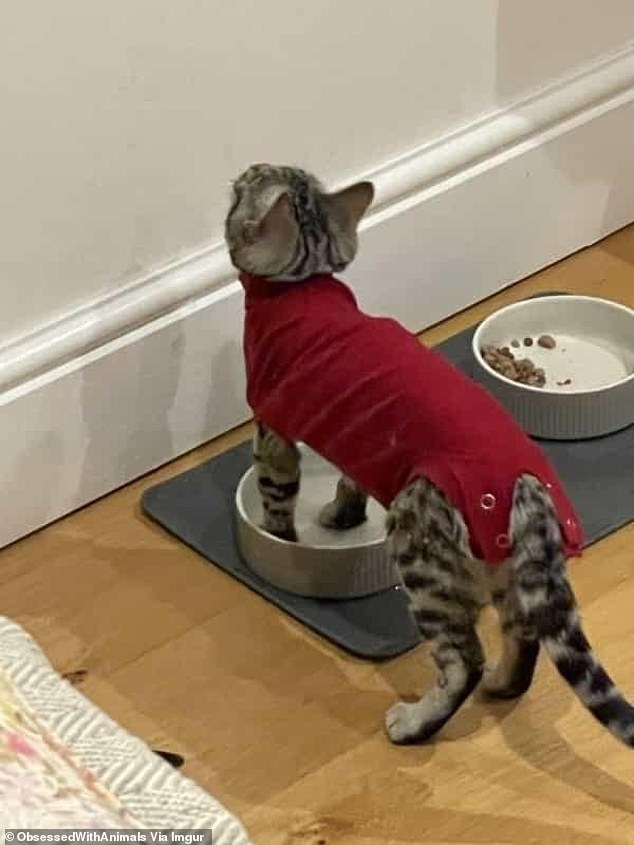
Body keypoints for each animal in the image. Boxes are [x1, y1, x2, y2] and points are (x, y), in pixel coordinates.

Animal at [223, 160, 632, 744]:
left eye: (247, 186)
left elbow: (278, 497)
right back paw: (502, 686)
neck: (306, 287)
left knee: (463, 658)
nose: (244, 170)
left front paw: (281, 536)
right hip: (506, 572)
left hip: (424, 561)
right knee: (523, 634)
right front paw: (341, 516)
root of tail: (528, 490)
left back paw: (415, 722)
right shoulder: (358, 438)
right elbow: (349, 482)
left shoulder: (274, 424)